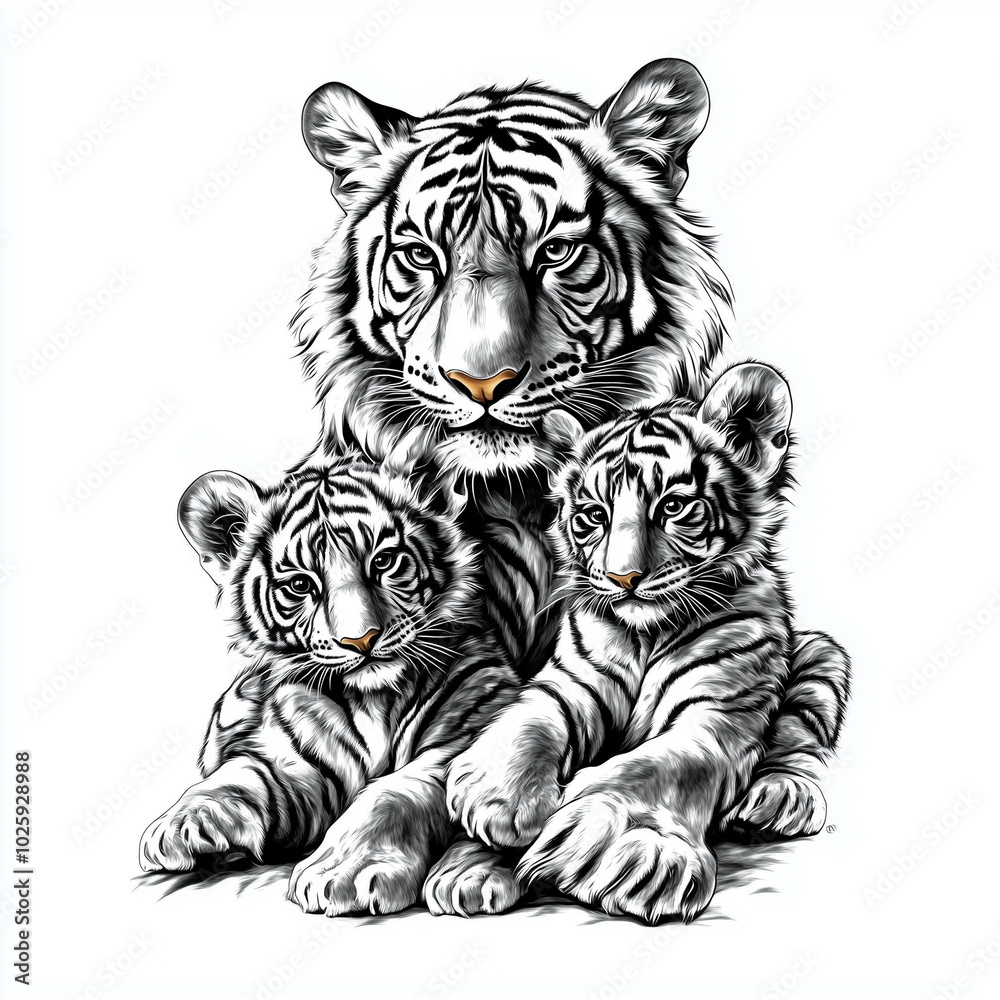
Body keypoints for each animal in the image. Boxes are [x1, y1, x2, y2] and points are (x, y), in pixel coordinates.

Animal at [137, 456, 521, 917]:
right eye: (301, 584)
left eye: (384, 561)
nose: (362, 640)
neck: (374, 698)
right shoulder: (295, 767)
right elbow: (243, 773)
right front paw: (180, 824)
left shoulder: (463, 737)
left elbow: (393, 794)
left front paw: (344, 871)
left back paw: (466, 878)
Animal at [444, 363, 851, 923]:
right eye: (593, 515)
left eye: (674, 506)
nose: (624, 578)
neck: (646, 634)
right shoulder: (572, 682)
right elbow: (531, 720)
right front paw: (495, 794)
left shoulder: (717, 713)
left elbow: (658, 765)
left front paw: (627, 847)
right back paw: (467, 874)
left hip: (820, 655)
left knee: (799, 738)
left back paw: (777, 798)